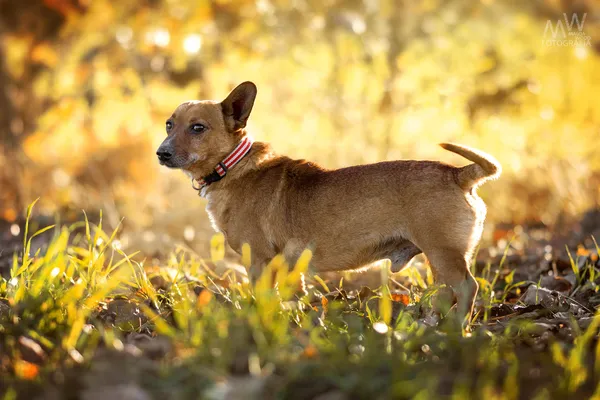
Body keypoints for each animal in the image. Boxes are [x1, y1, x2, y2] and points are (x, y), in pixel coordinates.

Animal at [156, 80, 502, 324]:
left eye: (198, 128)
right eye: (169, 124)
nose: (161, 153)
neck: (232, 167)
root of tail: (459, 174)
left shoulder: (258, 260)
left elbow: (262, 298)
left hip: (443, 253)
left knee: (468, 288)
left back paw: (457, 329)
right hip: (439, 258)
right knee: (446, 293)